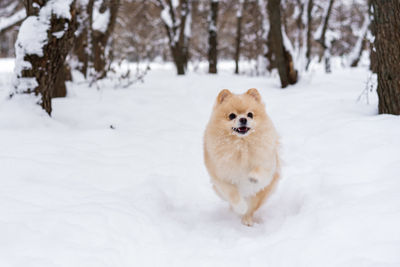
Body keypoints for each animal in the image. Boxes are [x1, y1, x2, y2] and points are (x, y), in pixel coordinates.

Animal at [203, 89, 282, 227]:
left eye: (250, 114)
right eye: (232, 116)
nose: (243, 119)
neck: (241, 145)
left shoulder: (268, 165)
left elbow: (260, 169)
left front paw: (253, 177)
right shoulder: (222, 178)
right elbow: (233, 194)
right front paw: (240, 207)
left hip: (262, 192)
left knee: (253, 206)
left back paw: (247, 219)